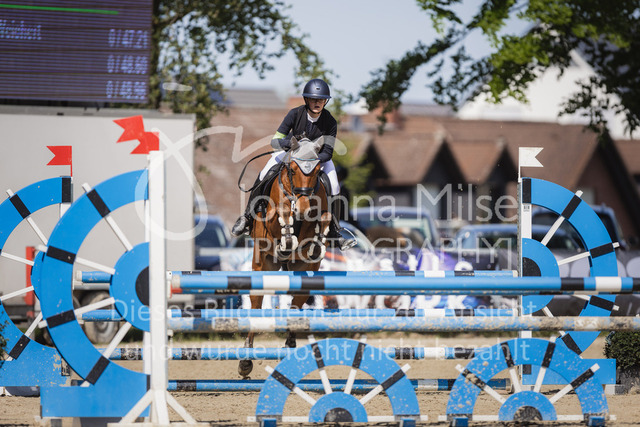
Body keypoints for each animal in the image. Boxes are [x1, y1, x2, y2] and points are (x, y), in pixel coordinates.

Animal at [238, 138, 332, 378]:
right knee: (256, 305)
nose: (303, 207)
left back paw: (290, 345)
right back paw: (245, 360)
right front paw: (287, 235)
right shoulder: (272, 217)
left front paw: (317, 239)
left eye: (317, 170)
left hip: (304, 271)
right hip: (262, 264)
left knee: (296, 306)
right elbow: (281, 212)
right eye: (292, 169)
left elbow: (324, 217)